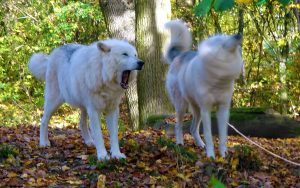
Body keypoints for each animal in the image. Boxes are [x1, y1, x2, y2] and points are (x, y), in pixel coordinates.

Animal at [164, 19, 244, 158]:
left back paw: (200, 144)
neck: (218, 81)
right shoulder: (206, 109)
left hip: (197, 109)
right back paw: (180, 143)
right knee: (178, 126)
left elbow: (223, 136)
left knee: (192, 128)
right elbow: (208, 135)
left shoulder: (223, 109)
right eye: (222, 41)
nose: (238, 35)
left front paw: (223, 155)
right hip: (182, 106)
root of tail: (179, 55)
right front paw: (211, 156)